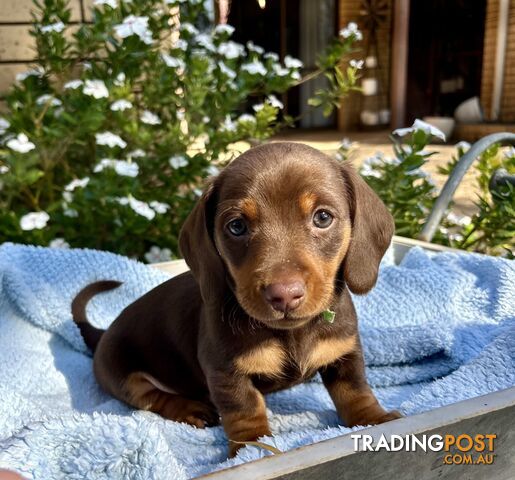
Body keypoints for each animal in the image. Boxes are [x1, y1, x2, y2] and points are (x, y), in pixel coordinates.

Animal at [72, 141, 404, 456]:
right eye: (236, 226)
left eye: (323, 217)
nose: (284, 294)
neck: (292, 332)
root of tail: (102, 333)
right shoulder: (225, 372)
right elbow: (244, 410)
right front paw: (253, 447)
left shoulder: (345, 351)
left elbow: (355, 390)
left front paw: (375, 419)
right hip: (120, 372)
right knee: (151, 397)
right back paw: (190, 408)